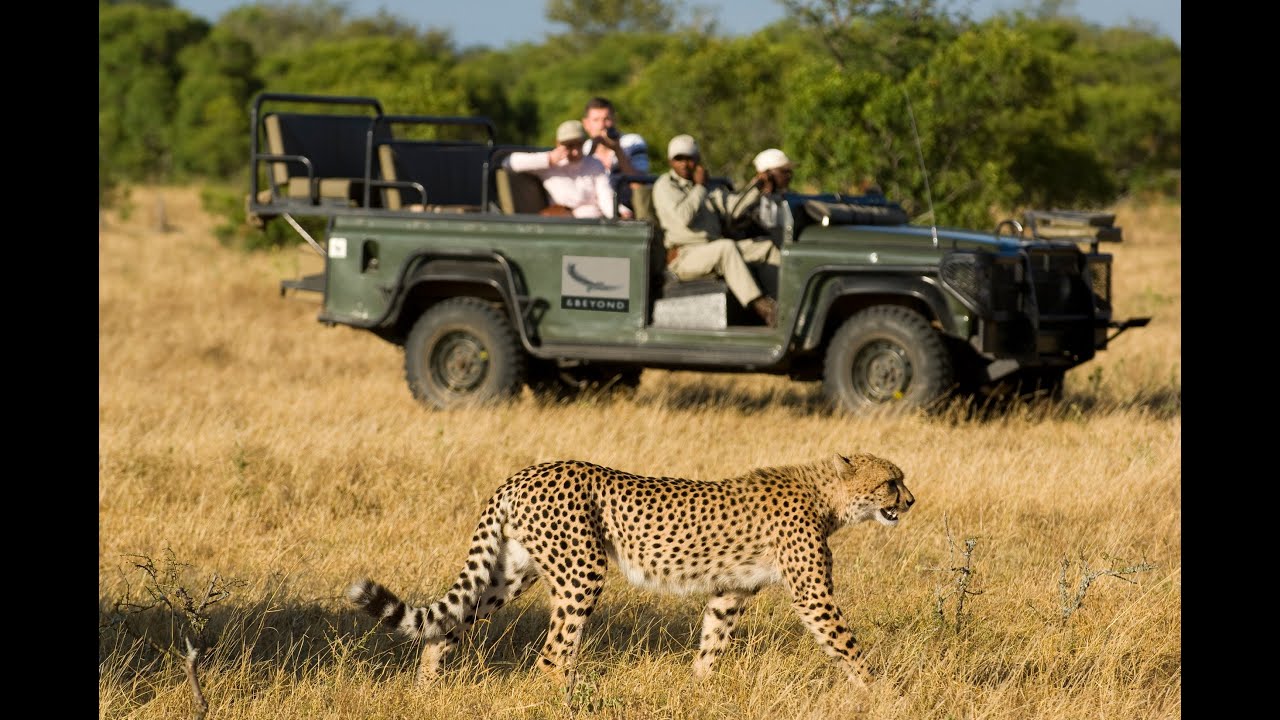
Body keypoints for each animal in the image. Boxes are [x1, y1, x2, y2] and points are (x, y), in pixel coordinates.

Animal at [345, 450, 916, 686]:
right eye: (892, 482)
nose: (911, 501)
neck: (827, 496)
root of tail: (524, 472)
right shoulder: (813, 595)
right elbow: (848, 646)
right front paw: (886, 693)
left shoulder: (729, 591)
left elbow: (712, 643)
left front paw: (698, 689)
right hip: (581, 570)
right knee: (552, 656)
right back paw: (569, 701)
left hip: (511, 573)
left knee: (446, 626)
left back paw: (427, 691)